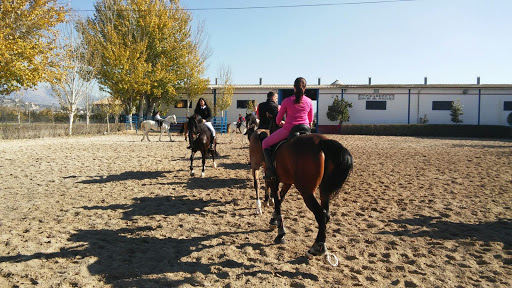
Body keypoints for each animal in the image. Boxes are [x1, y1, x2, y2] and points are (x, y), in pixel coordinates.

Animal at [266, 116, 354, 260]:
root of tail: (322, 142)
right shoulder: (288, 182)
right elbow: (281, 198)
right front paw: (274, 220)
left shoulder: (274, 181)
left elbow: (278, 202)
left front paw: (280, 233)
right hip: (324, 190)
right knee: (326, 214)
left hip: (306, 192)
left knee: (321, 214)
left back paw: (317, 247)